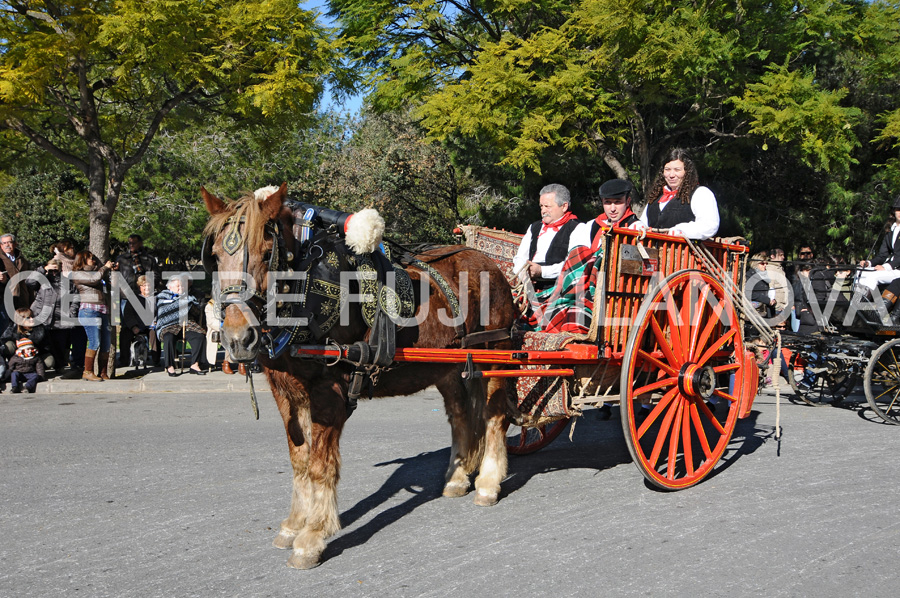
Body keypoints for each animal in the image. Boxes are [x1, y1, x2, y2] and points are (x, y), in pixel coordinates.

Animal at [201, 185, 516, 568]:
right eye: (216, 256)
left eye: (265, 253)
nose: (237, 338)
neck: (308, 293)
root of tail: (491, 265)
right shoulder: (285, 392)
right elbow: (299, 460)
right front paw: (293, 524)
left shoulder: (330, 393)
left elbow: (320, 465)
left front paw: (312, 536)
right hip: (449, 366)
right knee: (460, 416)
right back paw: (457, 477)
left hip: (496, 356)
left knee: (494, 416)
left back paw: (488, 482)